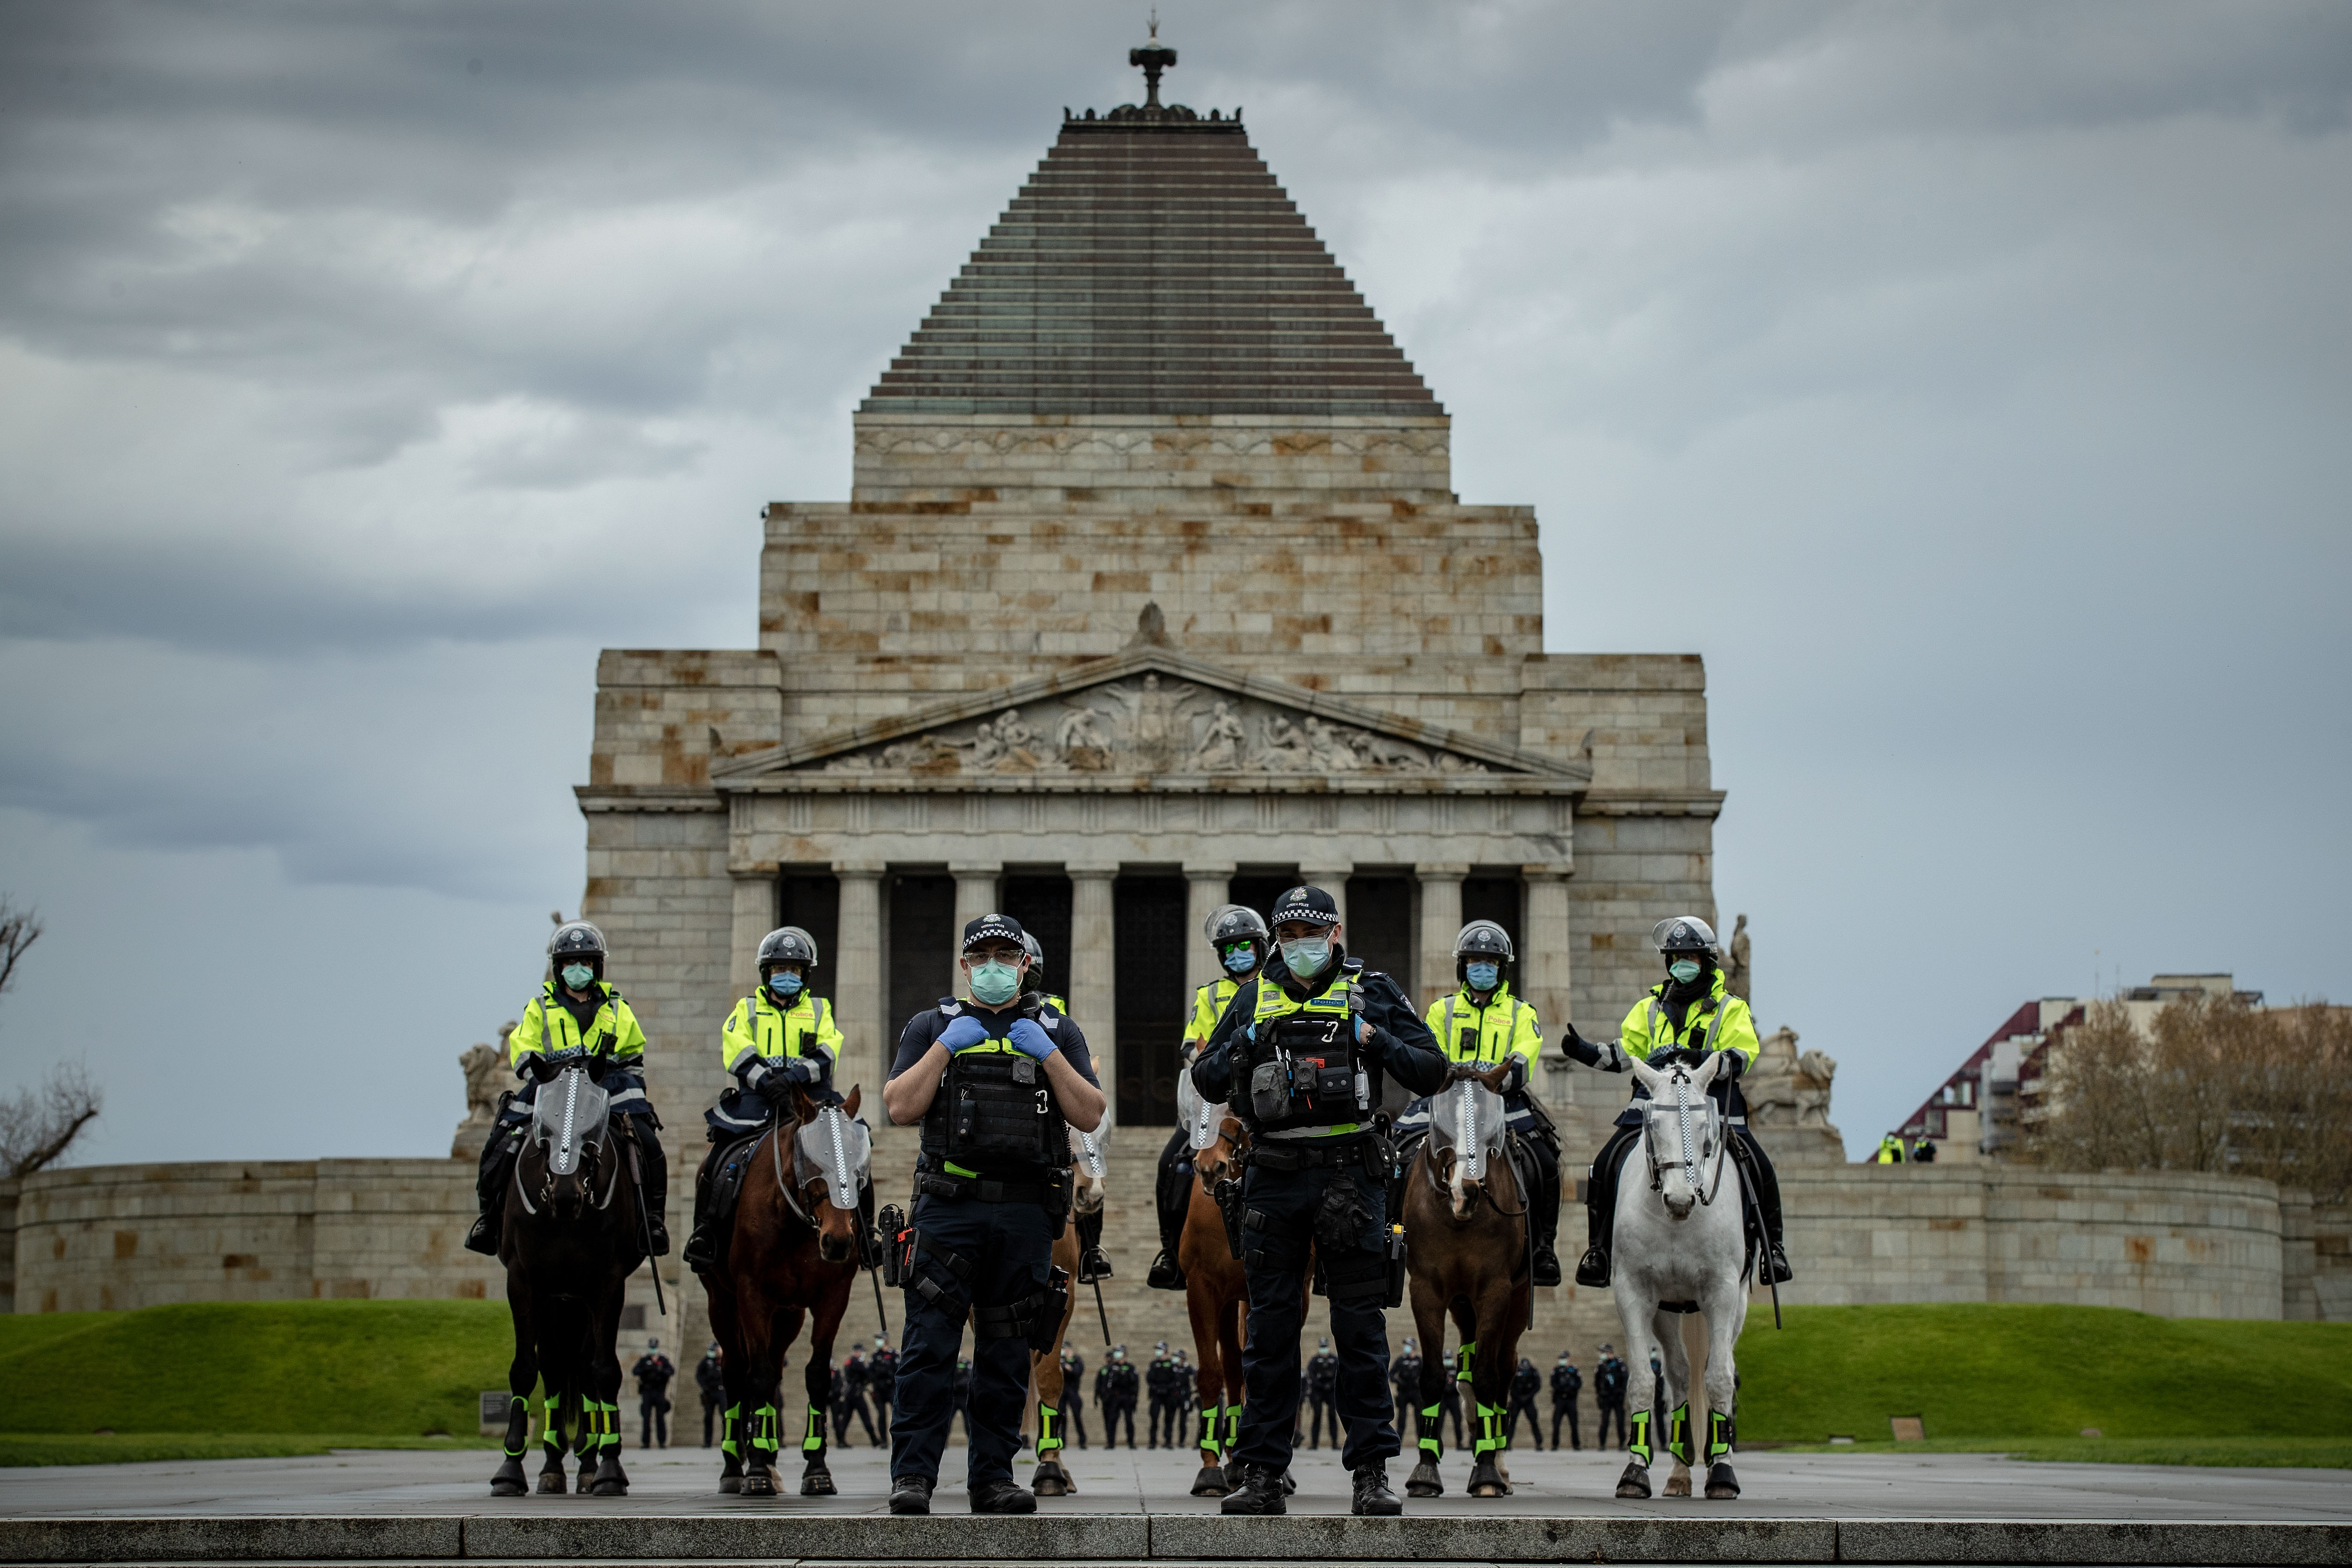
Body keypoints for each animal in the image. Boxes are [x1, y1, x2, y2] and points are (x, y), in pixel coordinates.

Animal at [486, 1062, 649, 1504]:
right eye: (544, 1126)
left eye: (594, 1126)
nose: (565, 1194)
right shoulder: (523, 1282)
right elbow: (525, 1370)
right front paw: (510, 1469)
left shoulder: (608, 1285)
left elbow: (605, 1370)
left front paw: (610, 1468)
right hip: (556, 1301)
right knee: (554, 1366)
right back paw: (552, 1466)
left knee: (585, 1367)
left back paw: (587, 1464)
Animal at [705, 1086, 884, 1504]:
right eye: (810, 1160)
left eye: (859, 1162)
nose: (838, 1241)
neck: (796, 1226)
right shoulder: (751, 1294)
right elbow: (756, 1376)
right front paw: (755, 1473)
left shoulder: (832, 1297)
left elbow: (816, 1375)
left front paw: (817, 1470)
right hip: (721, 1303)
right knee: (735, 1372)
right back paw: (736, 1468)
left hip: (788, 1314)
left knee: (775, 1370)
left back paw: (770, 1457)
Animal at [1392, 1072, 1543, 1504]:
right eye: (1442, 1124)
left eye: (1492, 1126)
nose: (1468, 1188)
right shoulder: (1426, 1290)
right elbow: (1430, 1376)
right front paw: (1425, 1471)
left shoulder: (1496, 1290)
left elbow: (1489, 1376)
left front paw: (1487, 1471)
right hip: (1460, 1302)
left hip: (1515, 1299)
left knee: (1503, 1368)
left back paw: (1499, 1463)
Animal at [1609, 1053, 1759, 1504]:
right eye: (1653, 1123)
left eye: (1706, 1123)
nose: (1680, 1199)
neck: (1676, 1224)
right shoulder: (1633, 1293)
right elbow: (1644, 1381)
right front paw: (1634, 1472)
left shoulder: (1723, 1292)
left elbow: (1719, 1378)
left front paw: (1723, 1471)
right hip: (1668, 1309)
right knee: (1677, 1374)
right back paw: (1678, 1473)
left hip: (1736, 1304)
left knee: (1718, 1365)